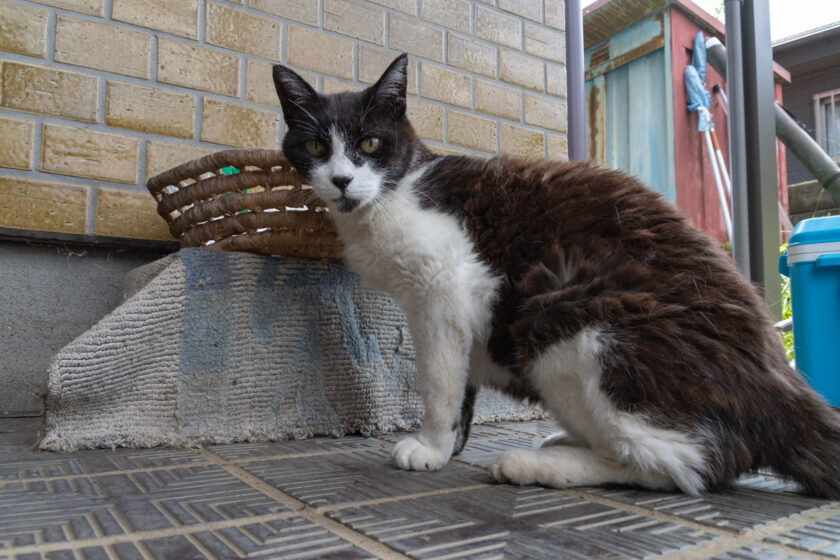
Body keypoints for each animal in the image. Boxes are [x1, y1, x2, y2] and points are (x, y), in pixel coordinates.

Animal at [274, 54, 840, 496]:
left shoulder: (445, 287)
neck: (396, 192)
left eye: (370, 144)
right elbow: (461, 382)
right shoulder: (451, 308)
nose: (341, 180)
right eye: (316, 148)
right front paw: (452, 445)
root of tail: (783, 388)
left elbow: (438, 380)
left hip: (564, 318)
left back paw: (534, 464)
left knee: (684, 467)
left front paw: (431, 447)